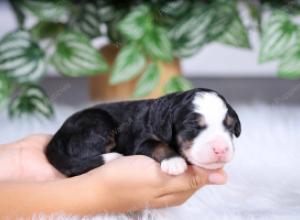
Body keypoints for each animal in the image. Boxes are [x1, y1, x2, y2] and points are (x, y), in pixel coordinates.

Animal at [45, 88, 241, 176]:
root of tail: (56, 137)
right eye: (193, 126)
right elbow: (158, 145)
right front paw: (174, 161)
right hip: (98, 122)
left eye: (230, 127)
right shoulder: (141, 140)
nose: (221, 149)